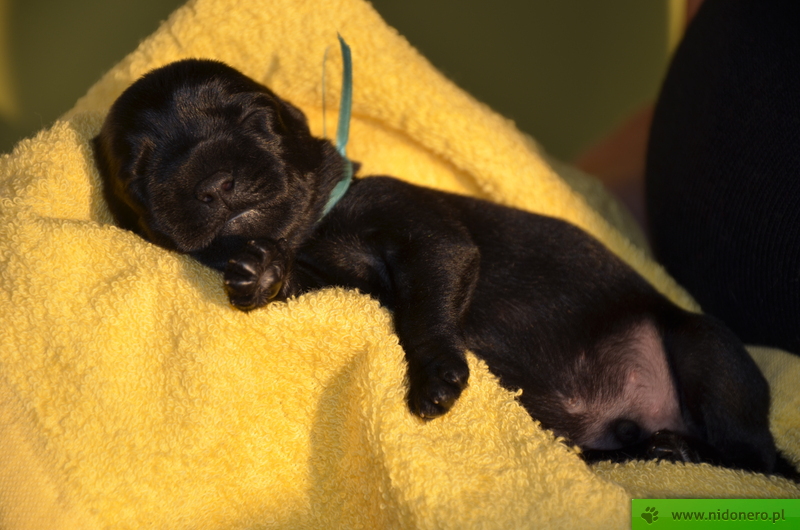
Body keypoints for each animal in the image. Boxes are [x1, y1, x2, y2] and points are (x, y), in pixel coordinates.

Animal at [93, 59, 795, 478]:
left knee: (755, 454)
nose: (216, 181)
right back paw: (660, 449)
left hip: (705, 353)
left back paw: (706, 453)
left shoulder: (432, 239)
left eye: (257, 120)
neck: (316, 226)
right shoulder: (340, 277)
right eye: (138, 170)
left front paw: (434, 378)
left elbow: (424, 309)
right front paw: (261, 273)